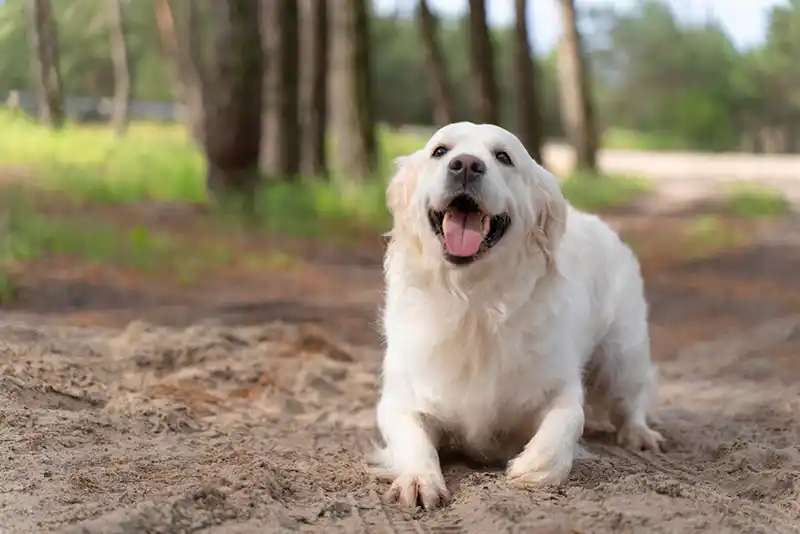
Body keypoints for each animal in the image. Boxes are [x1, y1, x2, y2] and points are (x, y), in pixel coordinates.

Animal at [372, 121, 664, 510]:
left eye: (503, 156)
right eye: (440, 151)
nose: (466, 165)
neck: (474, 303)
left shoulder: (558, 386)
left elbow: (567, 421)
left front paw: (532, 467)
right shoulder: (402, 399)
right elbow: (412, 438)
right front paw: (419, 480)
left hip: (622, 354)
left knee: (631, 399)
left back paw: (640, 434)